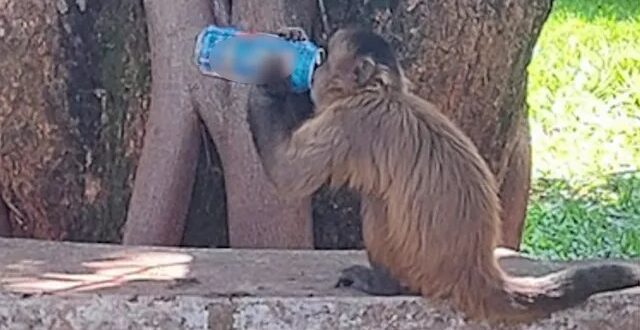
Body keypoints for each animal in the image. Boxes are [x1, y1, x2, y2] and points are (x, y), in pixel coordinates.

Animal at [246, 26, 640, 324]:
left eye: (324, 58)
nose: (311, 69)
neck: (385, 94)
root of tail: (476, 269)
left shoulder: (352, 120)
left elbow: (288, 174)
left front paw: (271, 77)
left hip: (418, 266)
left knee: (376, 202)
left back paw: (387, 285)